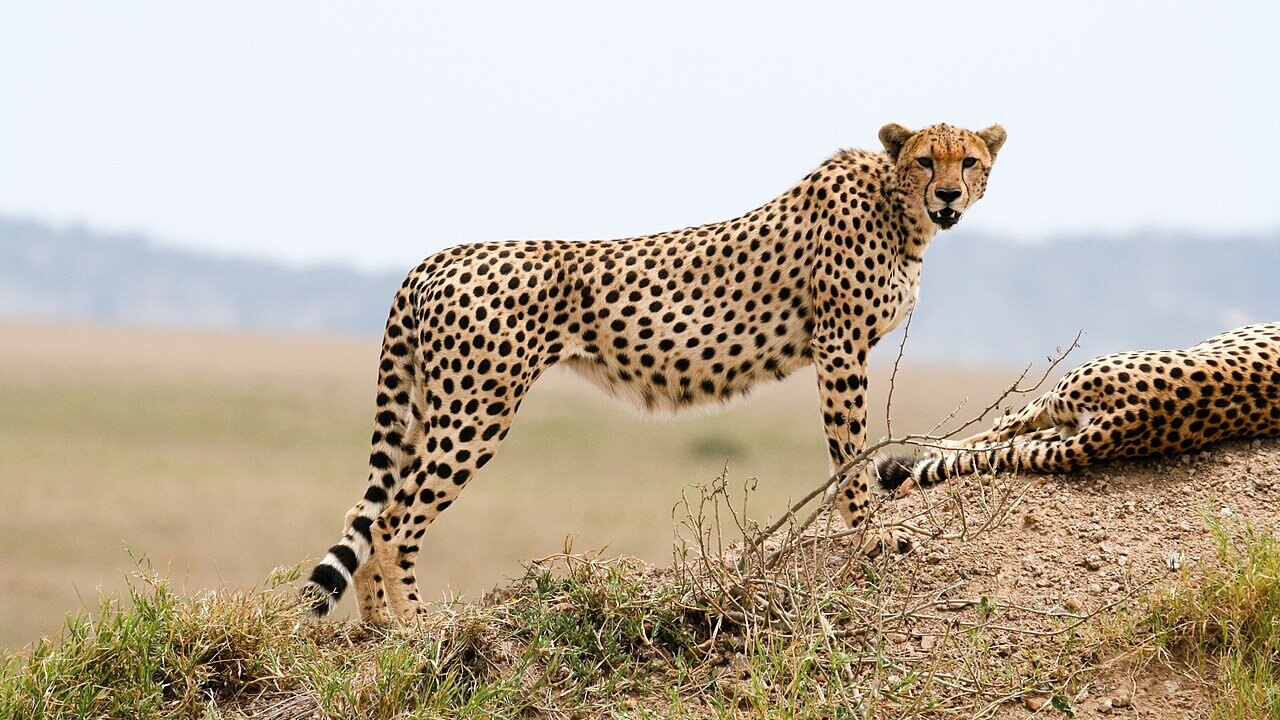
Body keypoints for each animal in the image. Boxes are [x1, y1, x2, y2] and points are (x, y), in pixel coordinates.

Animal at [302, 122, 1008, 625]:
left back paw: (376, 631)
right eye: (927, 160)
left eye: (968, 161)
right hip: (477, 409)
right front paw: (869, 534)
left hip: (432, 404)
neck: (899, 208)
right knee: (394, 520)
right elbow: (851, 448)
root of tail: (437, 257)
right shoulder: (839, 346)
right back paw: (417, 628)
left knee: (363, 512)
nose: (949, 194)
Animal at [875, 323, 1280, 494]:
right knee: (1012, 439)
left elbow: (999, 431)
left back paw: (931, 450)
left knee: (1000, 432)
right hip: (1066, 423)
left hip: (1056, 399)